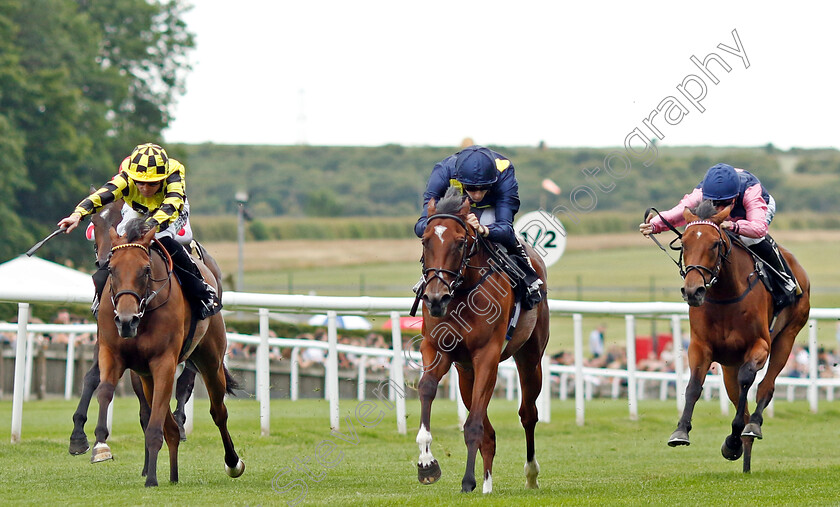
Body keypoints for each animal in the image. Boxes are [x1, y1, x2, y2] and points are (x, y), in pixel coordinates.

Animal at [69, 200, 199, 454]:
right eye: (94, 222)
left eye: (120, 219)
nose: (103, 262)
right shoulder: (106, 337)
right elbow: (92, 377)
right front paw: (78, 435)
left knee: (185, 382)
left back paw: (179, 424)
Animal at [92, 219, 243, 488]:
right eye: (112, 269)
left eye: (145, 270)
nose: (126, 321)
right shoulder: (112, 354)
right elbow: (105, 391)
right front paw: (100, 446)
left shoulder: (164, 363)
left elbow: (156, 425)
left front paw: (151, 478)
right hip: (146, 377)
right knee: (168, 426)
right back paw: (173, 475)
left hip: (210, 362)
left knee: (218, 412)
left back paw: (233, 462)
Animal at [416, 189, 548, 494]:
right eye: (425, 240)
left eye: (460, 242)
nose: (436, 298)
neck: (462, 292)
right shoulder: (437, 349)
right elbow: (427, 388)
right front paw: (426, 462)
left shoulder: (487, 355)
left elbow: (474, 424)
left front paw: (467, 480)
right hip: (466, 373)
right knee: (487, 426)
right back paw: (487, 482)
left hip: (530, 358)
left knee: (528, 413)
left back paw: (531, 474)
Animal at [668, 202, 812, 472]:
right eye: (684, 243)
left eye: (715, 244)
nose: (693, 291)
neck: (726, 296)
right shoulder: (701, 347)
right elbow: (694, 386)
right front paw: (681, 431)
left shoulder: (759, 346)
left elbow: (748, 382)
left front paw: (734, 438)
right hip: (728, 366)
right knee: (739, 399)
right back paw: (743, 458)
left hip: (787, 336)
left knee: (765, 387)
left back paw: (752, 427)